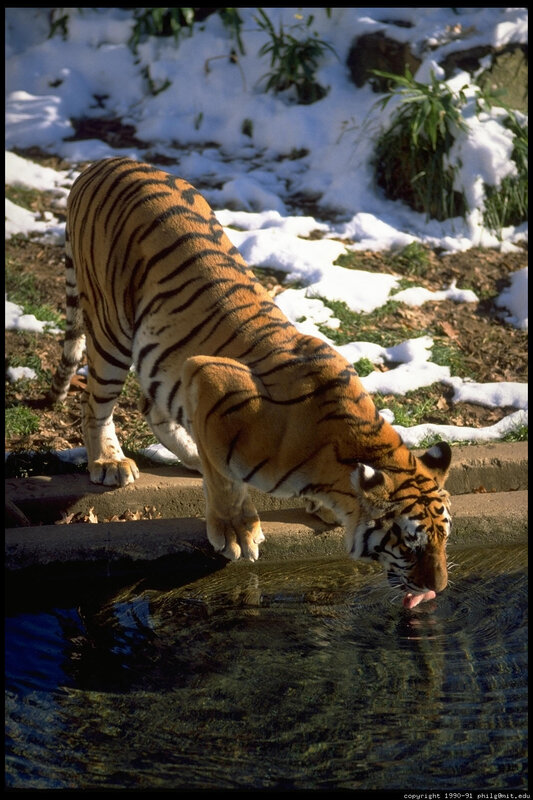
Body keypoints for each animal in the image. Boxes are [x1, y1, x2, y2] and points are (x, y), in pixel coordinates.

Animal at [49, 156, 452, 605]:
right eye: (410, 544)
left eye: (444, 539)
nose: (438, 589)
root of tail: (103, 162)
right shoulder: (209, 375)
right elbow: (227, 482)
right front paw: (237, 533)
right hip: (111, 327)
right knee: (96, 406)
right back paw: (110, 462)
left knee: (152, 404)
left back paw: (191, 454)